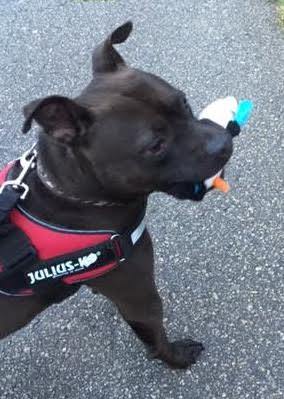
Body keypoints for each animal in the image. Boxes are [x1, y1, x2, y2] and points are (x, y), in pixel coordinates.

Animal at [0, 23, 233, 370]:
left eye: (184, 103)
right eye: (155, 146)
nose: (225, 140)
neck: (66, 194)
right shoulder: (140, 297)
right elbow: (156, 339)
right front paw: (177, 358)